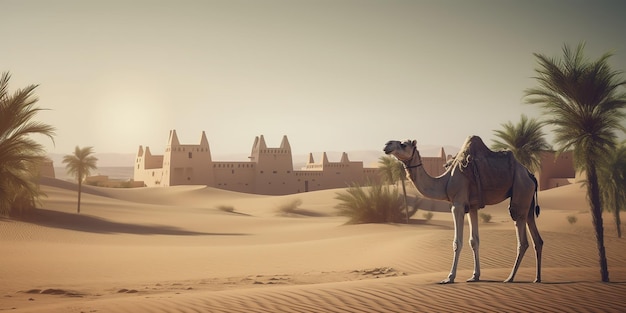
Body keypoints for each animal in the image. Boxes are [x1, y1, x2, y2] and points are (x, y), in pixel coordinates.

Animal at [380, 135, 540, 282]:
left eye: (403, 144)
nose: (387, 144)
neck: (445, 181)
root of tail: (531, 175)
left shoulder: (458, 205)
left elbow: (457, 242)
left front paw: (450, 277)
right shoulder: (472, 207)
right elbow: (474, 241)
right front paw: (475, 276)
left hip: (521, 191)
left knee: (522, 239)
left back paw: (510, 277)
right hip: (528, 201)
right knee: (537, 238)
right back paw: (537, 278)